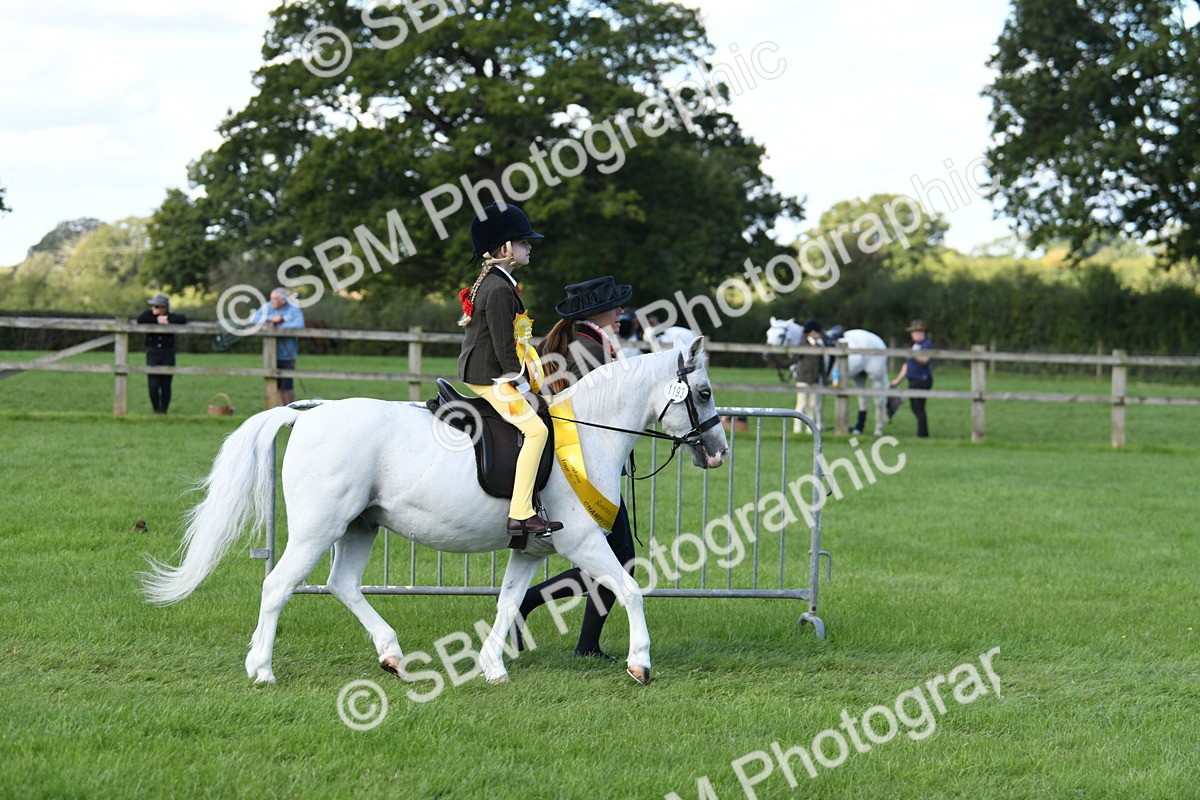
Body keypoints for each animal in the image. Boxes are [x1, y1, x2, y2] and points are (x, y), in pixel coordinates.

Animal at [142, 338, 728, 686]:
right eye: (701, 391)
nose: (719, 452)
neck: (585, 434)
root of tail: (309, 415)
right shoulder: (581, 542)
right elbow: (629, 589)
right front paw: (640, 663)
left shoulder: (532, 548)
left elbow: (508, 601)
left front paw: (493, 666)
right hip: (318, 528)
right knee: (279, 585)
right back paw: (261, 670)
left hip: (359, 527)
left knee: (342, 585)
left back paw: (392, 654)